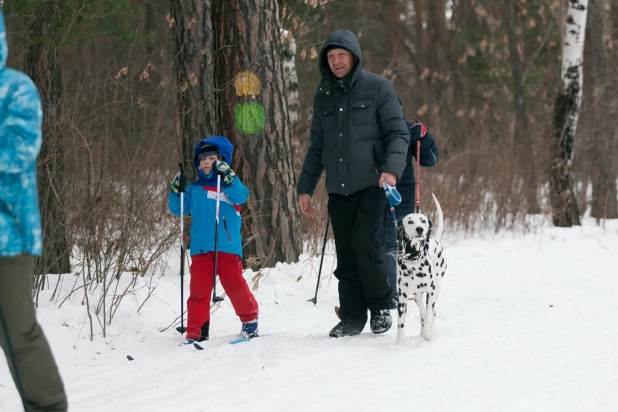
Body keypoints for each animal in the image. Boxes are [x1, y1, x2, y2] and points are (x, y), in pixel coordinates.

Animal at [398, 193, 446, 344]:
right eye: (410, 222)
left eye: (423, 220)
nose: (420, 229)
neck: (414, 260)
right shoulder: (402, 298)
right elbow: (401, 324)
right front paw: (399, 344)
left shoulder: (431, 292)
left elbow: (430, 313)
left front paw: (428, 333)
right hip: (417, 296)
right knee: (423, 312)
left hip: (436, 289)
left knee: (432, 311)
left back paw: (427, 331)